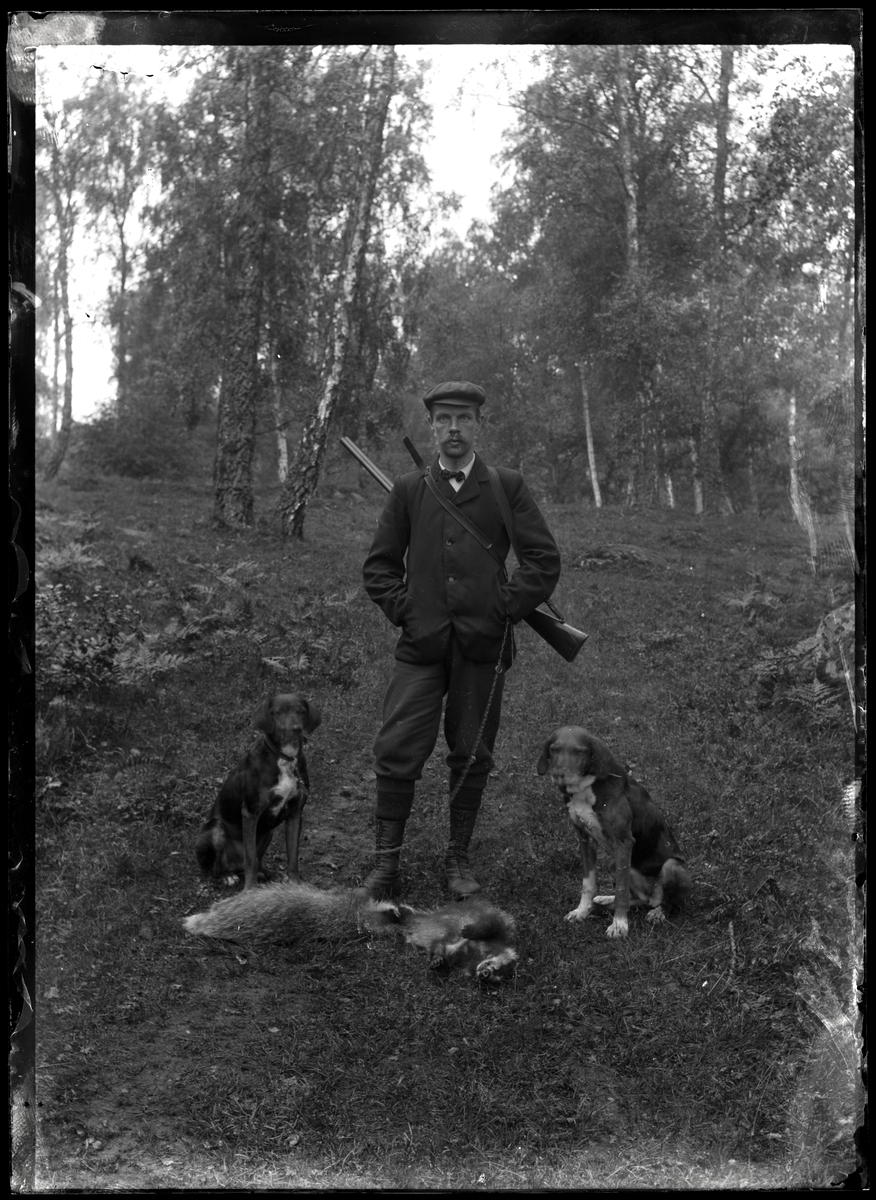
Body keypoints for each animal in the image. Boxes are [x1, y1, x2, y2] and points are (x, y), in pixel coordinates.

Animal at [183, 883, 519, 983]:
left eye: (498, 977)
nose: (485, 974)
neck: (476, 952)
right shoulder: (493, 928)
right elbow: (490, 921)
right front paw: (470, 928)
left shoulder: (458, 951)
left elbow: (441, 950)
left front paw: (437, 961)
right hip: (407, 912)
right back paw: (395, 909)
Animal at [195, 693, 321, 890]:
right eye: (279, 712)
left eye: (301, 711)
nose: (297, 729)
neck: (286, 758)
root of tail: (235, 866)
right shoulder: (250, 813)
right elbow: (251, 859)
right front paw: (250, 889)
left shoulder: (295, 812)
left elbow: (293, 856)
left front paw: (296, 884)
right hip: (214, 828)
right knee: (214, 868)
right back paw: (226, 876)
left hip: (268, 832)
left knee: (258, 860)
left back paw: (270, 873)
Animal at [537, 726, 690, 938]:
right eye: (554, 749)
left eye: (578, 751)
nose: (560, 774)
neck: (586, 788)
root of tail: (652, 894)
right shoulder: (585, 839)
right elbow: (588, 884)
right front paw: (582, 911)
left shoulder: (623, 842)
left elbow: (622, 891)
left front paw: (619, 925)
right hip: (613, 864)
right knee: (640, 899)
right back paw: (605, 900)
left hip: (671, 866)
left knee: (667, 903)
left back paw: (658, 913)